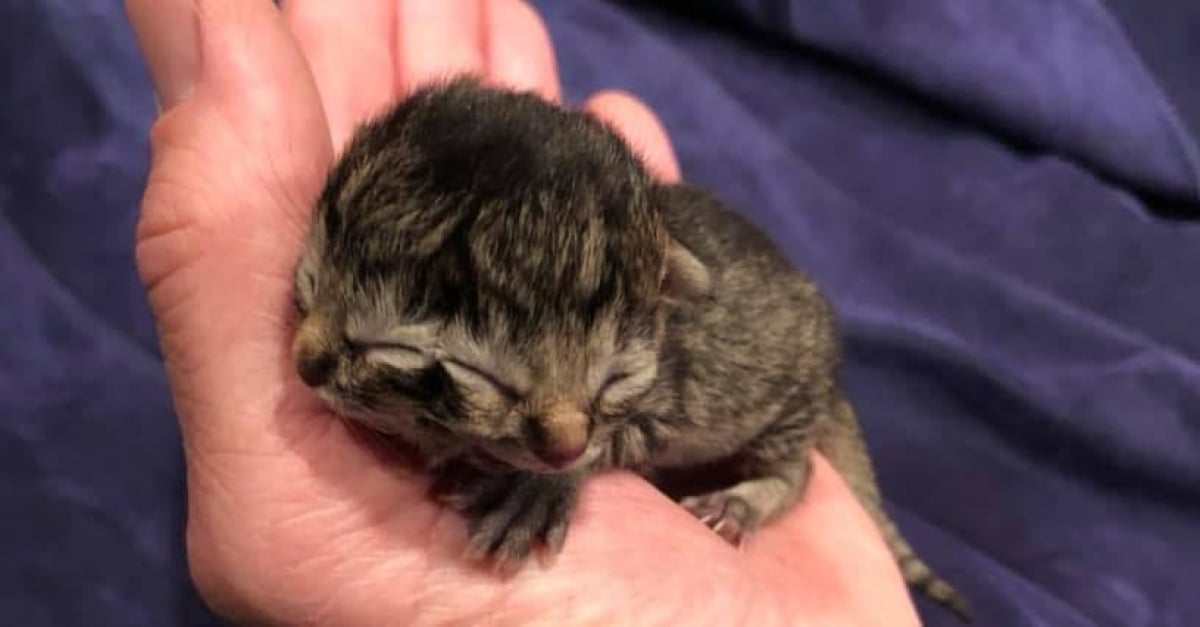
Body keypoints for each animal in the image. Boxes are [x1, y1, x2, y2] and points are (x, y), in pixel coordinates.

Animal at [290, 76, 974, 619]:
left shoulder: (663, 400)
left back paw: (747, 497)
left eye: (612, 380)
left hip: (793, 397)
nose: (305, 364)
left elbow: (620, 438)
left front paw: (537, 488)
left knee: (797, 470)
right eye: (310, 283)